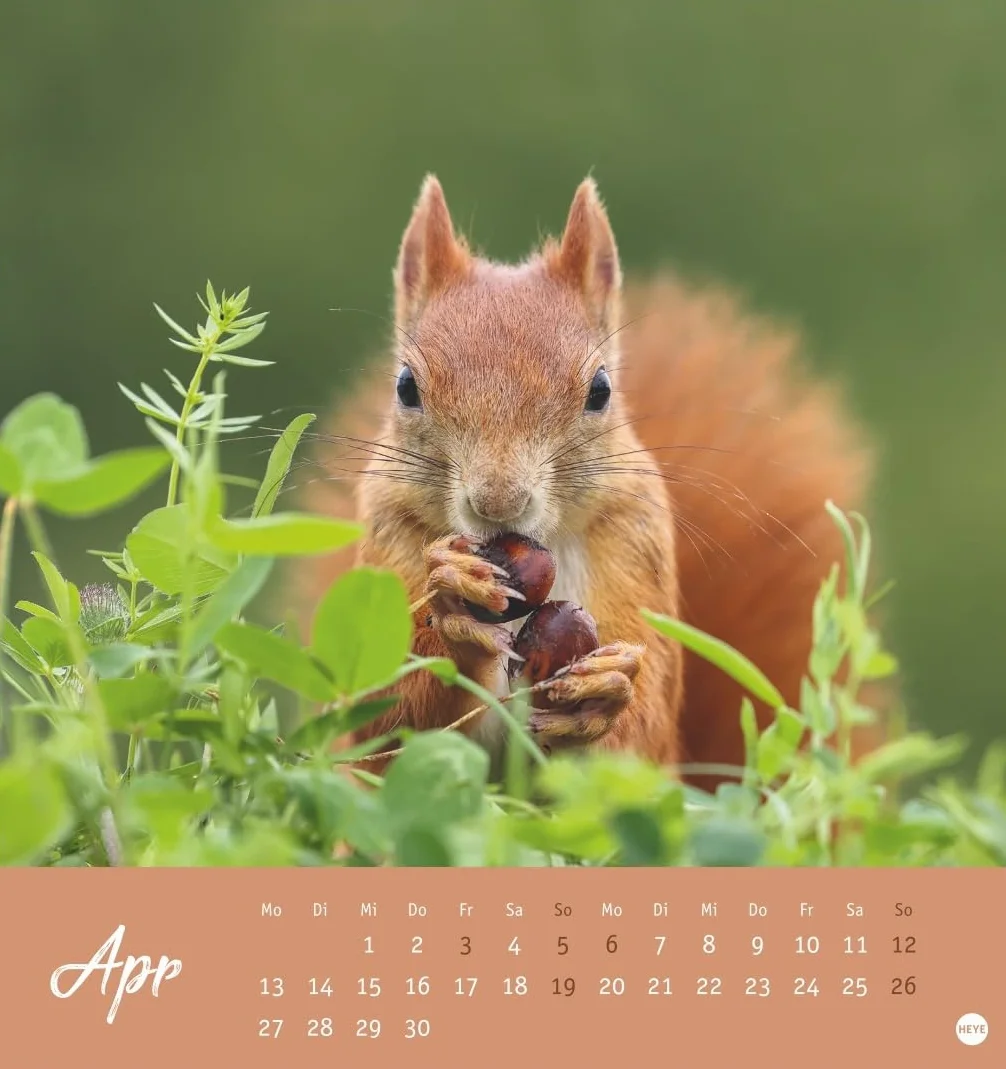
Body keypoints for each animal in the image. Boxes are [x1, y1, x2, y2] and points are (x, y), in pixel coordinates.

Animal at [294, 175, 881, 790]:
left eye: (600, 390)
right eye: (406, 386)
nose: (499, 501)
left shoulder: (633, 544)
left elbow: (640, 743)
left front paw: (602, 697)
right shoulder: (390, 538)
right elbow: (388, 723)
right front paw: (455, 601)